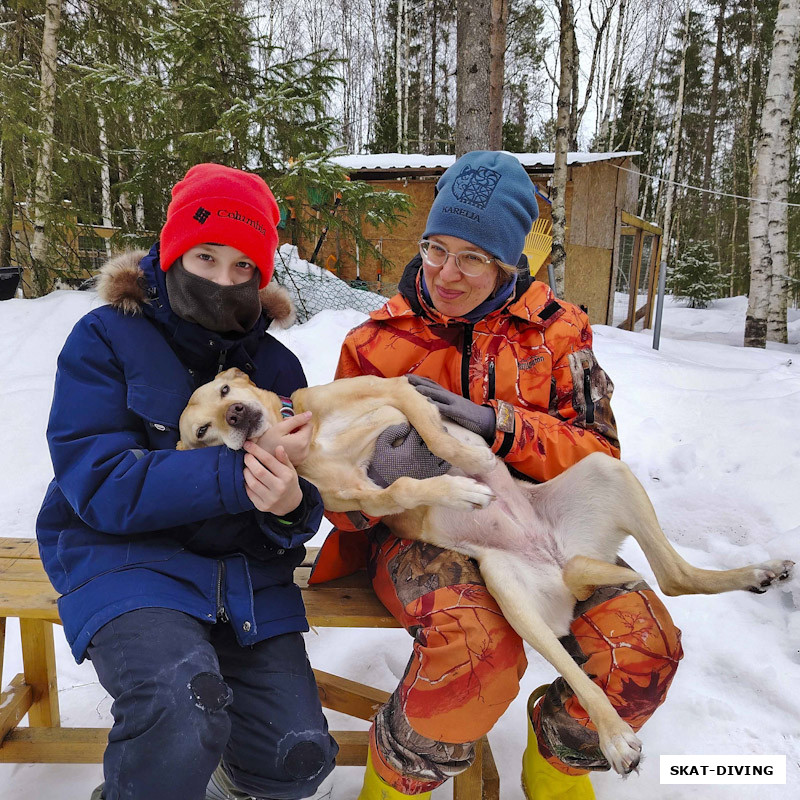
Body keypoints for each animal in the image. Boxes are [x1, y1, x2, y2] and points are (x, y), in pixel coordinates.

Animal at [177, 368, 792, 776]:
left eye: (227, 393)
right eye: (202, 433)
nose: (235, 418)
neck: (305, 434)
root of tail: (558, 557)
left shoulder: (397, 390)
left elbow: (433, 427)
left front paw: (471, 459)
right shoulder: (355, 496)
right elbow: (401, 488)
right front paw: (455, 489)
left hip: (605, 470)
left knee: (672, 575)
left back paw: (761, 571)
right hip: (512, 596)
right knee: (614, 627)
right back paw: (616, 735)